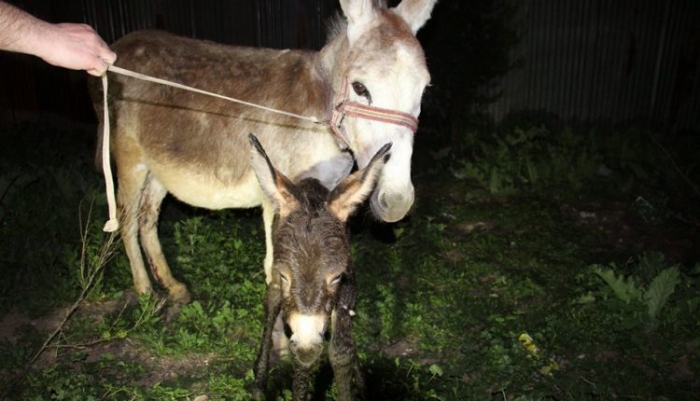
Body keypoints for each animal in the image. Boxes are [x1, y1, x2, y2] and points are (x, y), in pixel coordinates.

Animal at [247, 135, 392, 400]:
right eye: (285, 275)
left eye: (335, 277)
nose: (307, 347)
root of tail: (309, 182)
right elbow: (303, 360)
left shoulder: (347, 285)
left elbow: (341, 352)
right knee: (271, 302)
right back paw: (260, 382)